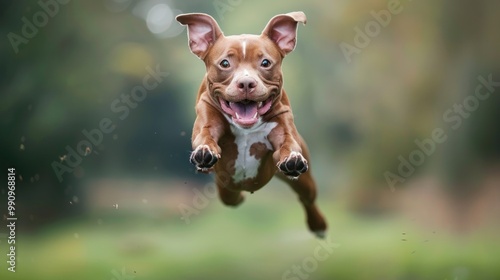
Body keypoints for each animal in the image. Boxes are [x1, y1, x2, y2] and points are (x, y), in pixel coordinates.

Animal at [177, 11, 328, 238]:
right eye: (225, 63)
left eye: (265, 63)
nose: (247, 83)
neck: (246, 127)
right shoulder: (208, 118)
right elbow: (206, 135)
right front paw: (205, 150)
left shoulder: (283, 127)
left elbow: (287, 145)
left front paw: (291, 158)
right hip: (226, 187)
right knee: (231, 197)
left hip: (305, 182)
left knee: (307, 197)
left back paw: (318, 225)